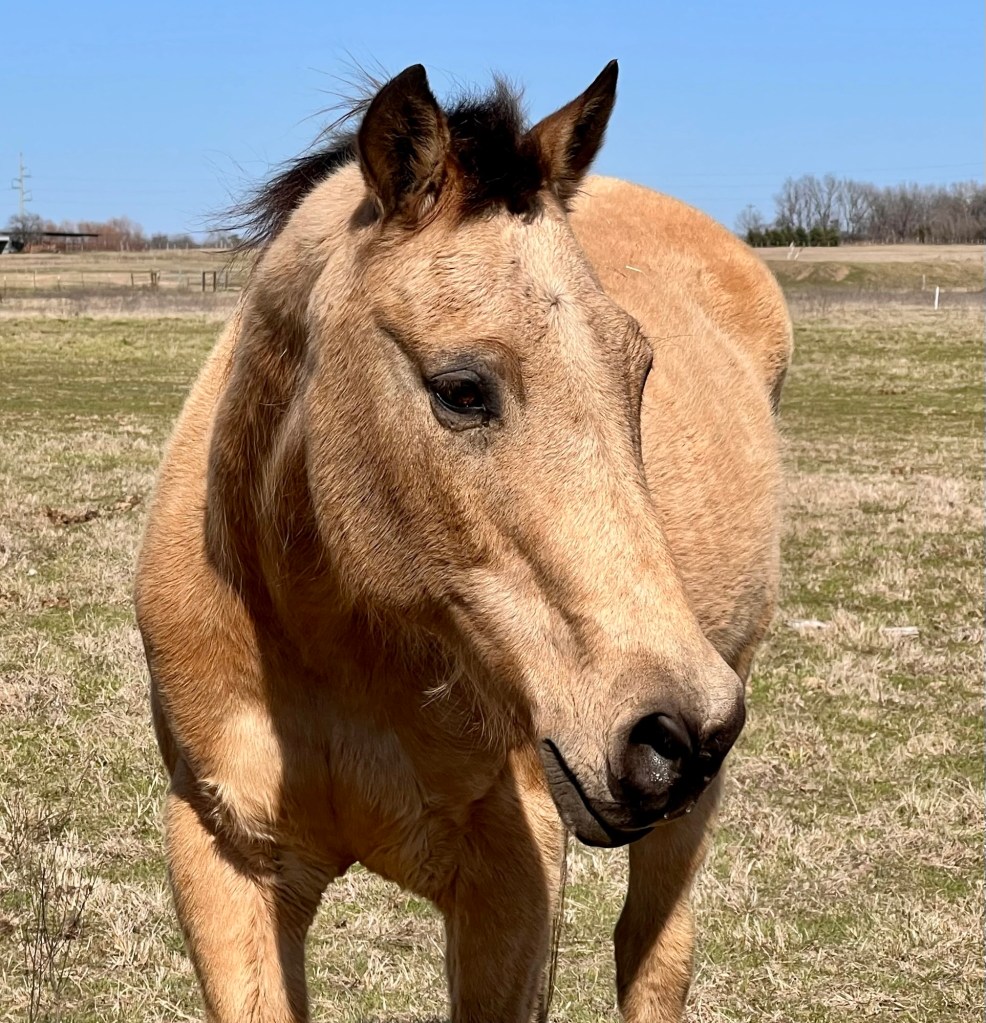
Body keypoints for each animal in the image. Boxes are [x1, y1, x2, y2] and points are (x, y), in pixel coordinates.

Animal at [134, 60, 791, 1023]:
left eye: (638, 368)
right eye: (461, 389)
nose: (676, 732)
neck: (331, 649)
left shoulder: (512, 878)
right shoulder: (225, 860)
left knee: (652, 955)